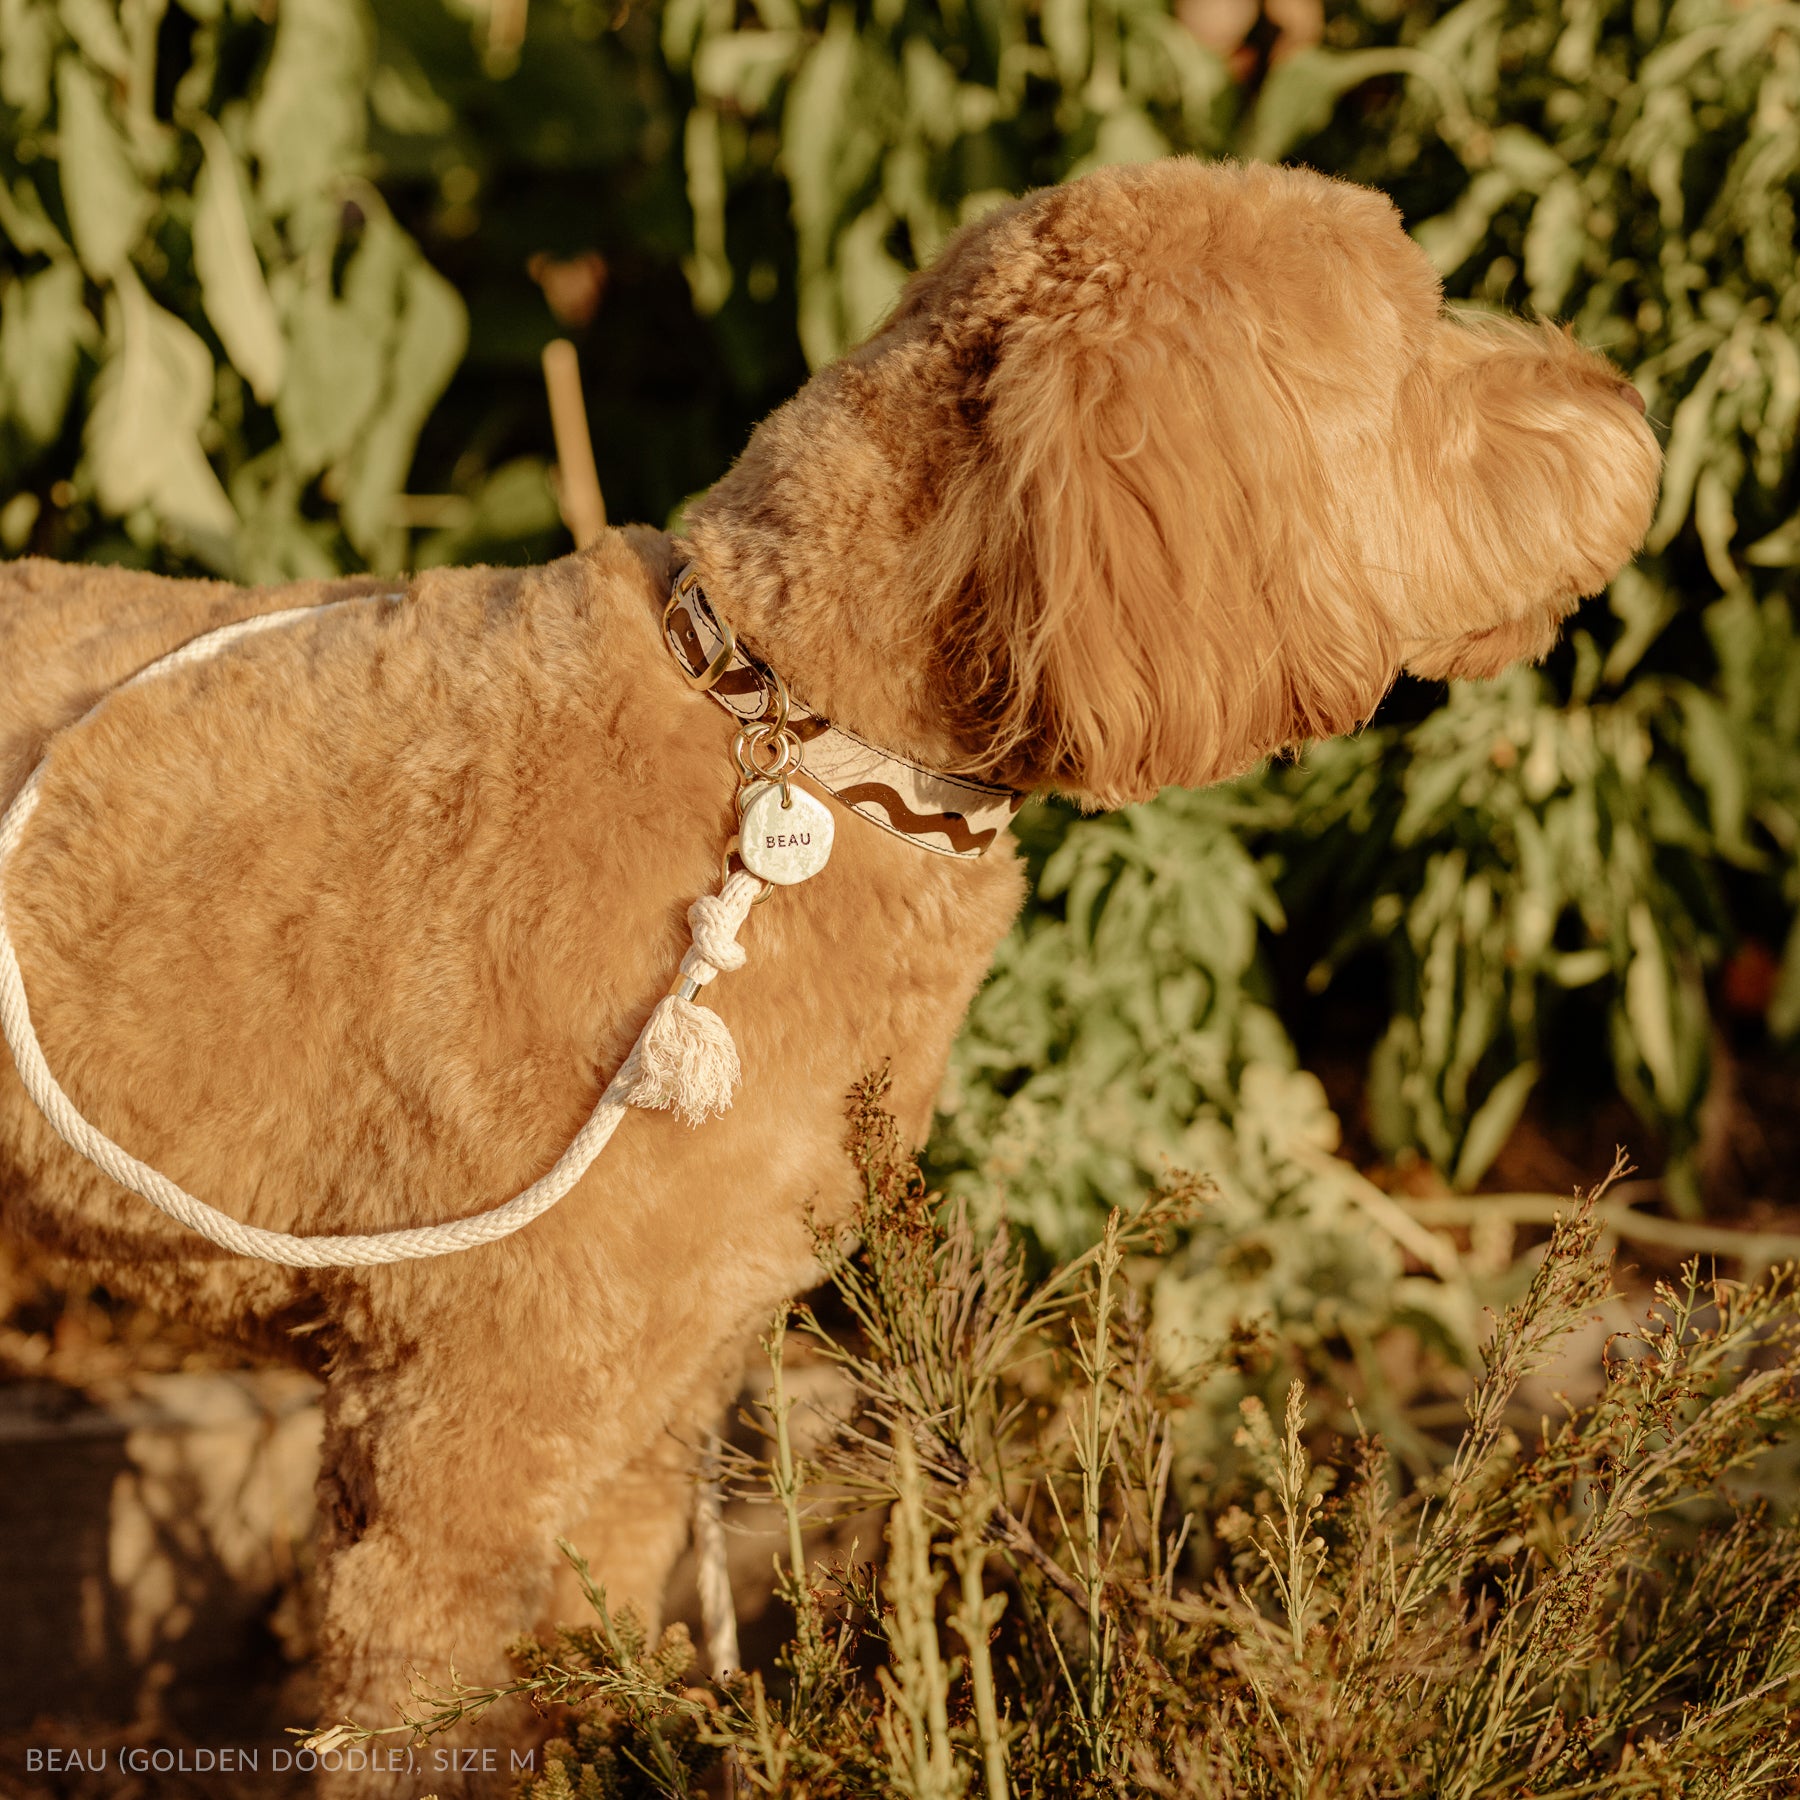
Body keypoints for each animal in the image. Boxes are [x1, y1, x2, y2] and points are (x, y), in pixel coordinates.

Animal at [0, 158, 1656, 1785]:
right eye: (1417, 350)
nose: (1622, 402)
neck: (793, 727)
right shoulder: (454, 1432)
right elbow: (423, 1706)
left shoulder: (654, 1401)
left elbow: (602, 1651)